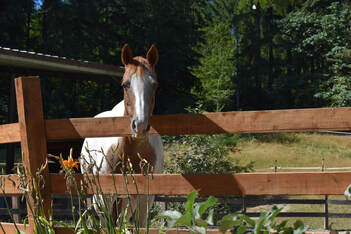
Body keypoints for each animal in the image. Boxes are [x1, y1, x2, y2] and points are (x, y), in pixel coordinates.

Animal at [81, 44, 165, 227]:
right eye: (125, 84)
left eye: (155, 85)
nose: (140, 126)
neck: (130, 149)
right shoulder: (104, 197)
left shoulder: (144, 197)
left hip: (127, 199)